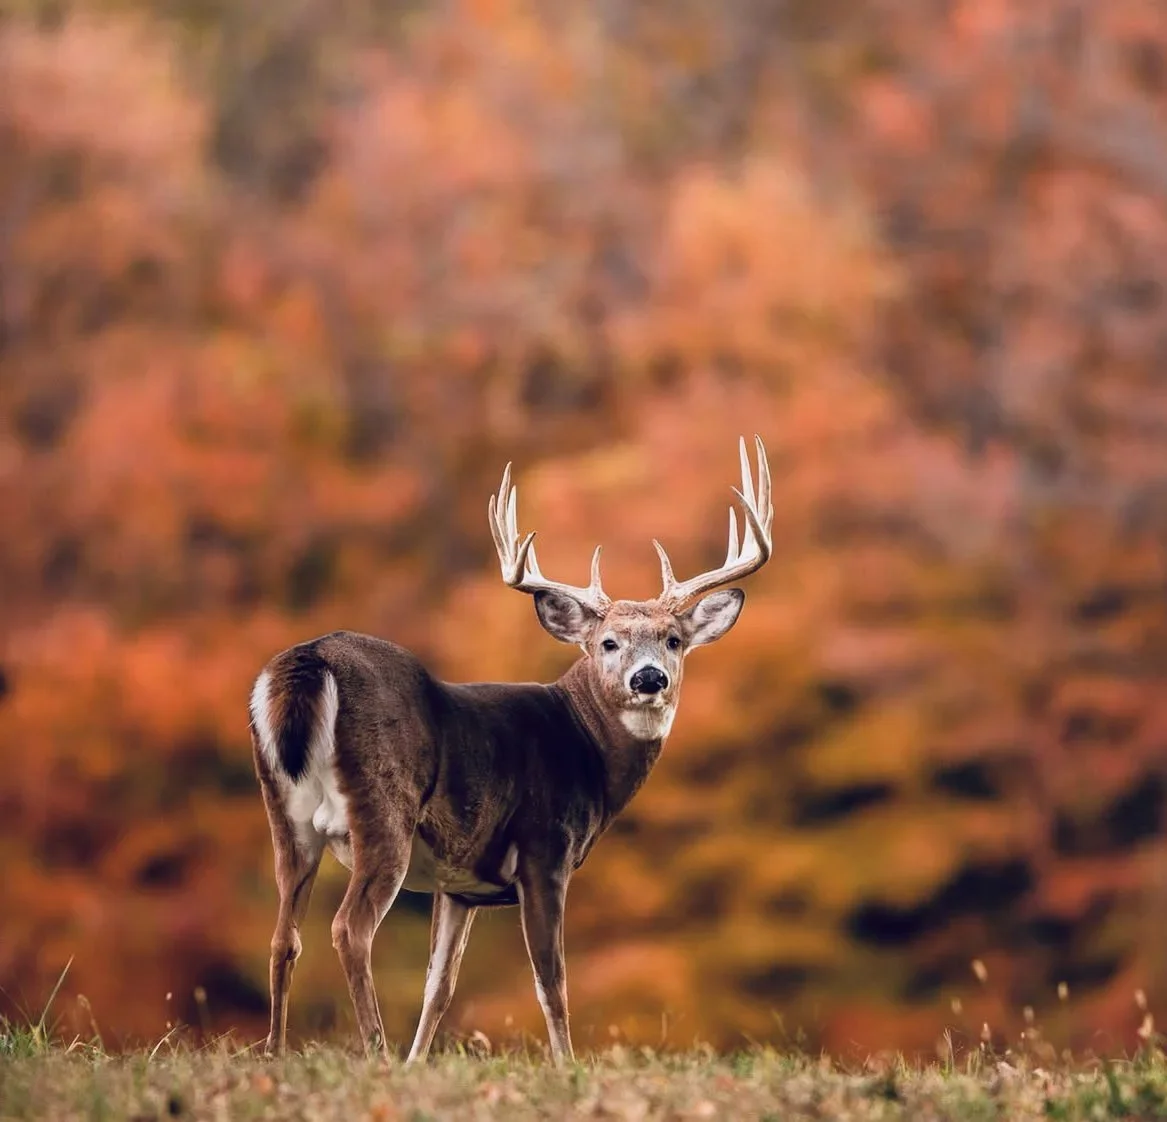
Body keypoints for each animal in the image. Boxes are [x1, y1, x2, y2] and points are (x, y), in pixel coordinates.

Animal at [249, 436, 773, 1064]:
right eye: (607, 642)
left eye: (673, 640)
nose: (649, 678)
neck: (587, 746)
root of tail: (312, 657)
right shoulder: (545, 851)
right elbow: (552, 981)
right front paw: (566, 1066)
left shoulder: (459, 885)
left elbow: (439, 985)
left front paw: (417, 1062)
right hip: (383, 810)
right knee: (349, 929)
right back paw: (374, 1050)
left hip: (285, 816)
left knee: (284, 936)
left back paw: (276, 1051)